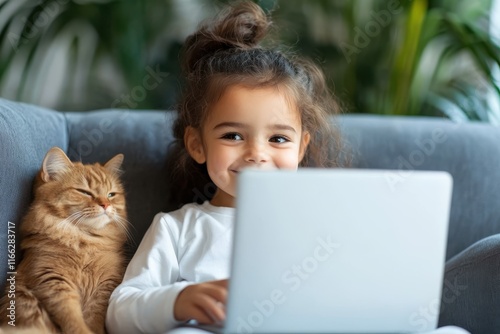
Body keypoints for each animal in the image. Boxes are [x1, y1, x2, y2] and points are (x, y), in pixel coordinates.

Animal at [0, 147, 129, 332]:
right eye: (84, 192)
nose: (106, 205)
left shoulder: (104, 288)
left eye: (111, 194)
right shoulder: (54, 282)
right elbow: (73, 320)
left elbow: (94, 320)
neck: (86, 240)